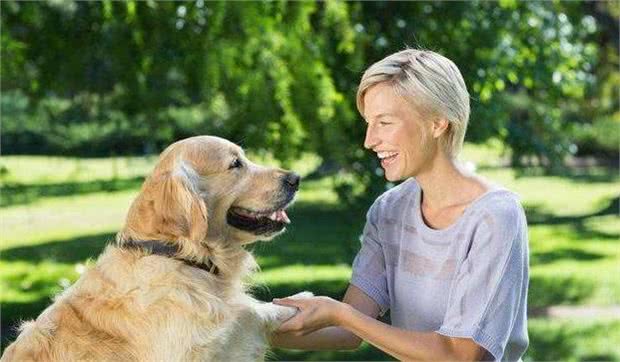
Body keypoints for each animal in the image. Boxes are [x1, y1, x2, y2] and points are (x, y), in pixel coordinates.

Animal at [0, 136, 310, 362]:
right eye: (236, 164)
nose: (295, 178)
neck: (177, 256)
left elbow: (254, 309)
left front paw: (299, 299)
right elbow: (253, 311)